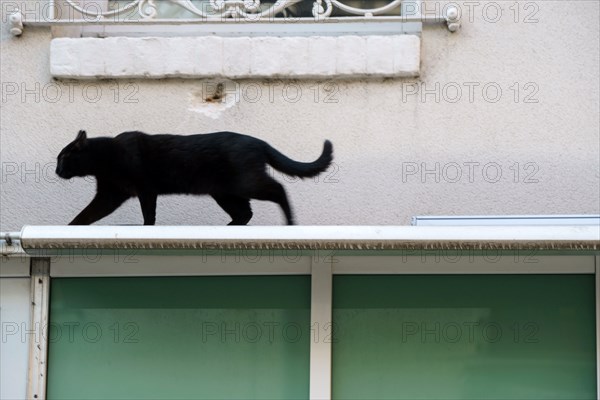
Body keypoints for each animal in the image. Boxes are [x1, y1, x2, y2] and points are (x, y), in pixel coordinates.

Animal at [55, 130, 332, 225]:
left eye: (63, 157)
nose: (56, 170)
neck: (107, 158)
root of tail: (259, 142)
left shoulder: (145, 189)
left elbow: (149, 215)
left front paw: (147, 228)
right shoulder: (110, 194)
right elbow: (87, 214)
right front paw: (71, 227)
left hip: (247, 183)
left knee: (279, 190)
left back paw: (291, 222)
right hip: (225, 192)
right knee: (245, 213)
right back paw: (229, 228)